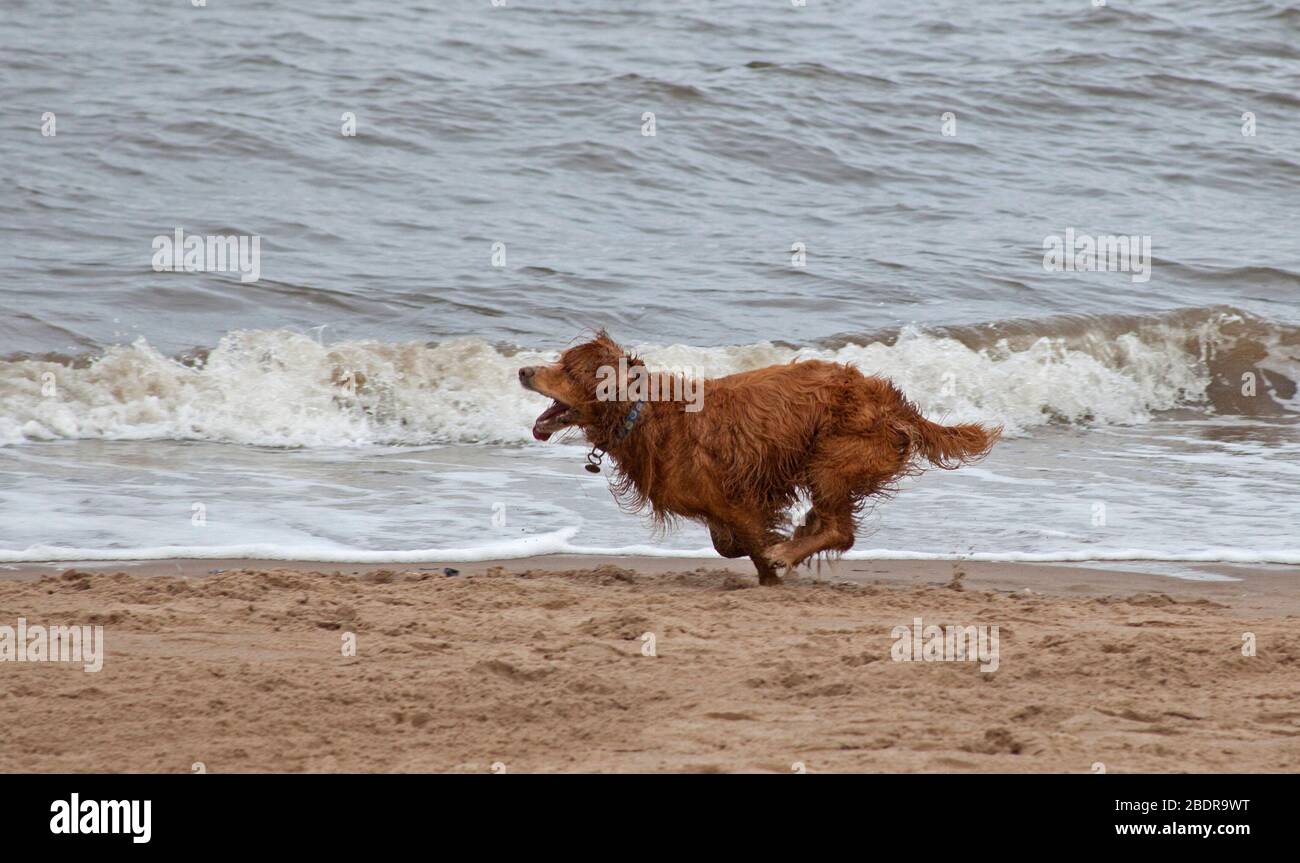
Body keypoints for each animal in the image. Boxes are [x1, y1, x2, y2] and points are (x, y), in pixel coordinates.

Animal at [517, 332, 993, 582]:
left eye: (567, 371)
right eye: (559, 360)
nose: (523, 370)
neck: (643, 413)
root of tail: (892, 399)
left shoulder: (736, 497)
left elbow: (752, 543)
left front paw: (775, 564)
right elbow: (729, 543)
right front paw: (780, 544)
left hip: (832, 457)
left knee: (841, 530)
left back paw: (793, 549)